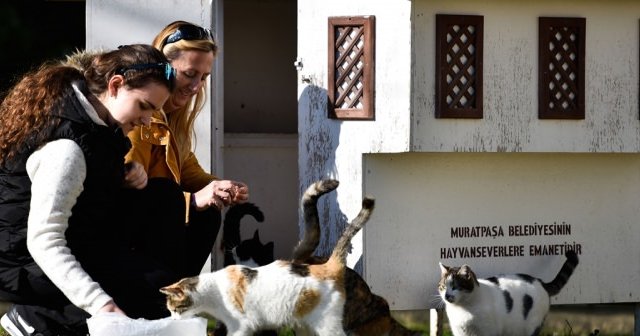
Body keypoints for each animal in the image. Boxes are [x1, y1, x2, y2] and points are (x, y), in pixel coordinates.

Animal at [160, 197, 378, 336]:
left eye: (175, 308)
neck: (213, 293)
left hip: (327, 324)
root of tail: (329, 265)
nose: (172, 320)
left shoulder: (241, 326)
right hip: (306, 326)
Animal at [440, 251, 580, 336]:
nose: (447, 295)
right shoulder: (460, 332)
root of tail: (541, 282)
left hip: (531, 326)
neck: (463, 309)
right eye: (442, 287)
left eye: (455, 287)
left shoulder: (488, 331)